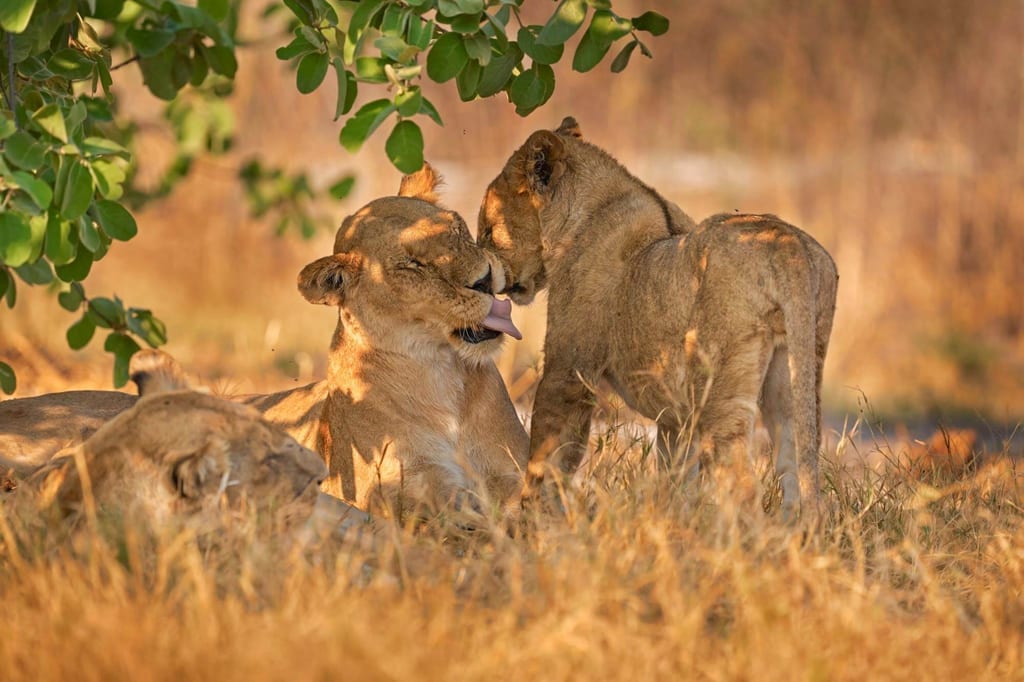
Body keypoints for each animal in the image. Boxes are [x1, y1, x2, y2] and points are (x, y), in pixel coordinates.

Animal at [477, 117, 839, 519]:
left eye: (488, 231)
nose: (483, 279)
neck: (587, 216)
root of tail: (787, 243)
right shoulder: (674, 416)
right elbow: (675, 474)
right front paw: (673, 517)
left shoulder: (569, 370)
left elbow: (548, 451)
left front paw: (532, 517)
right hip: (795, 375)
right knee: (797, 469)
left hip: (718, 383)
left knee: (739, 482)